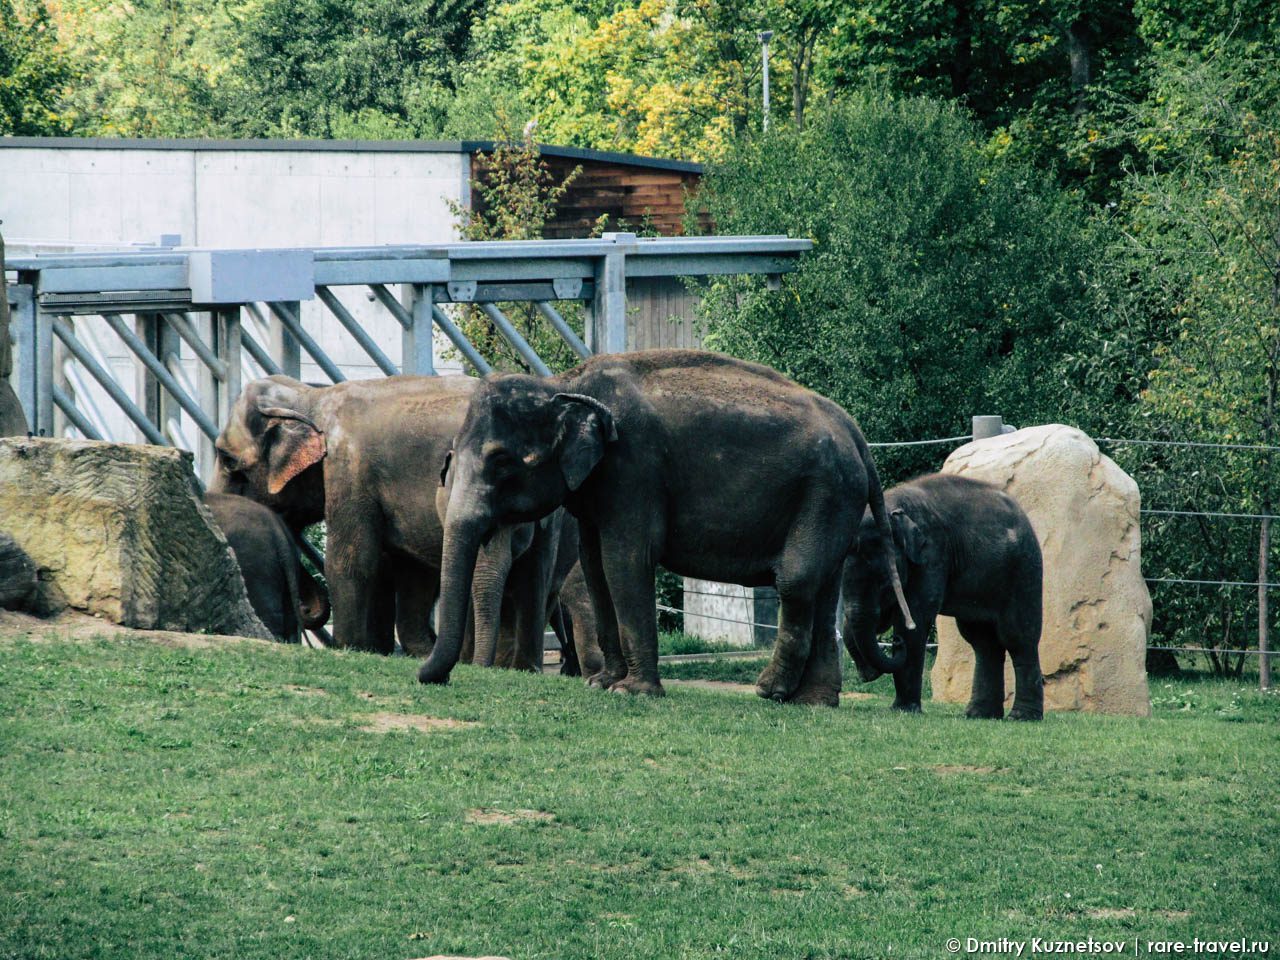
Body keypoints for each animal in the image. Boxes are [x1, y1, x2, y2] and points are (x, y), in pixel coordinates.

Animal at [417, 348, 911, 706]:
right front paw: (602, 684)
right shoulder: (598, 488)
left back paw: (770, 691)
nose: (428, 678)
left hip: (825, 492)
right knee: (825, 586)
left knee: (797, 580)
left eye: (501, 461)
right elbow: (595, 567)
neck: (563, 384)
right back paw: (813, 702)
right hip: (835, 499)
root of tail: (857, 434)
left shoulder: (634, 468)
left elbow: (624, 559)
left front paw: (633, 692)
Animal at [844, 473, 1044, 721]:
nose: (895, 643)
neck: (893, 506)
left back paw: (1021, 717)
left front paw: (904, 709)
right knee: (983, 642)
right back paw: (979, 714)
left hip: (1024, 570)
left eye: (884, 581)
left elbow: (916, 620)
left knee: (1018, 637)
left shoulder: (934, 554)